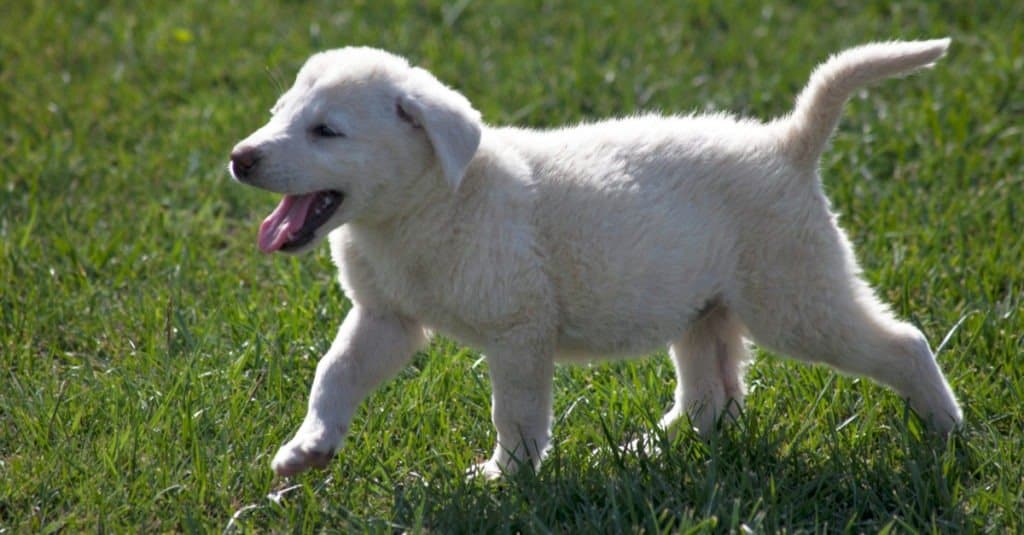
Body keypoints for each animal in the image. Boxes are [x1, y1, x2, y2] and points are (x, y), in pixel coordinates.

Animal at [230, 39, 958, 477]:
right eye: (280, 112)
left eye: (327, 130)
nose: (240, 157)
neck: (429, 203)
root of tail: (789, 143)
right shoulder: (386, 317)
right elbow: (334, 371)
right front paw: (308, 447)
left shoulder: (519, 331)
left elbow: (515, 413)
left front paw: (504, 477)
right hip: (705, 310)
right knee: (712, 400)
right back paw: (651, 447)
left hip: (796, 299)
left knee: (902, 342)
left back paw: (946, 429)